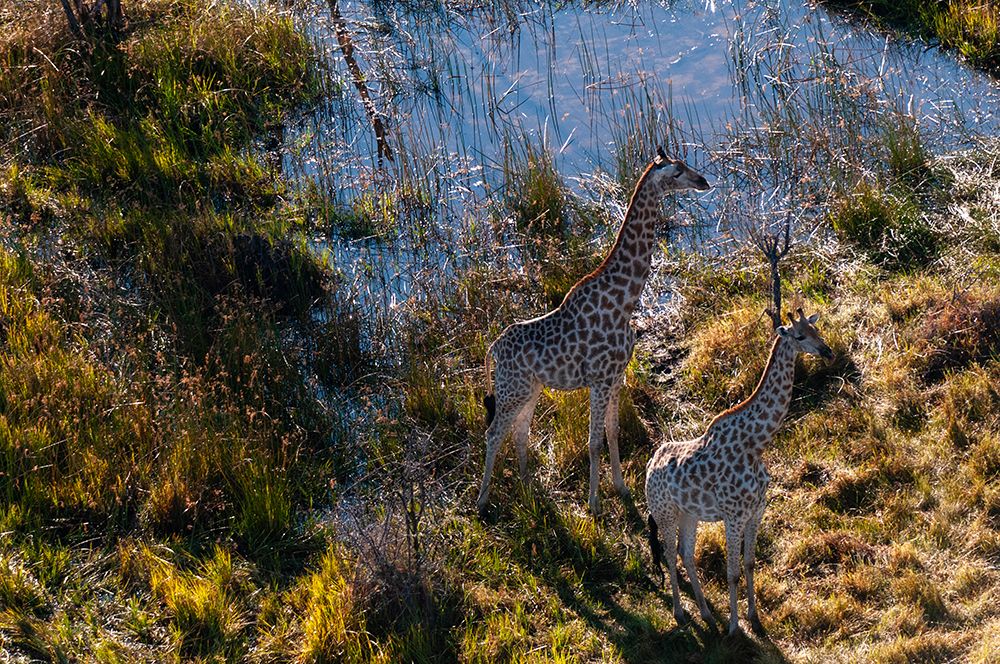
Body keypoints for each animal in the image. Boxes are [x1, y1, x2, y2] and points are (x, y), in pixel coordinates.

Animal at [478, 149, 710, 516]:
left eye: (686, 165)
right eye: (677, 172)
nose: (703, 181)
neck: (625, 301)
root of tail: (494, 348)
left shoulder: (616, 377)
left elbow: (613, 433)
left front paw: (621, 488)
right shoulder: (599, 380)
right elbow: (593, 442)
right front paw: (594, 503)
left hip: (529, 389)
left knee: (519, 433)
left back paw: (529, 488)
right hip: (510, 390)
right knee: (493, 434)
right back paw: (483, 501)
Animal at [645, 309, 833, 635]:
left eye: (817, 330)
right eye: (799, 336)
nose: (828, 352)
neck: (755, 446)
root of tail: (648, 467)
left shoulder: (757, 511)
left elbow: (749, 564)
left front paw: (754, 617)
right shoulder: (733, 516)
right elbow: (731, 572)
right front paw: (734, 627)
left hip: (688, 514)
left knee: (685, 553)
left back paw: (707, 614)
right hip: (665, 513)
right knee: (669, 554)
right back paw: (681, 614)